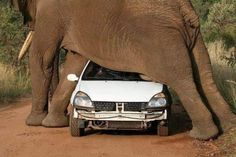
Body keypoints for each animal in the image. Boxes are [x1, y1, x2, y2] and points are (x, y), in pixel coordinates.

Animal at [10, 0, 236, 140]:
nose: (65, 114)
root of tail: (183, 7)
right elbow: (76, 61)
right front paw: (53, 124)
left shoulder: (51, 11)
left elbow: (41, 57)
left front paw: (36, 123)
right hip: (193, 34)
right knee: (204, 75)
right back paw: (228, 127)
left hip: (159, 36)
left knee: (181, 78)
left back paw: (203, 135)